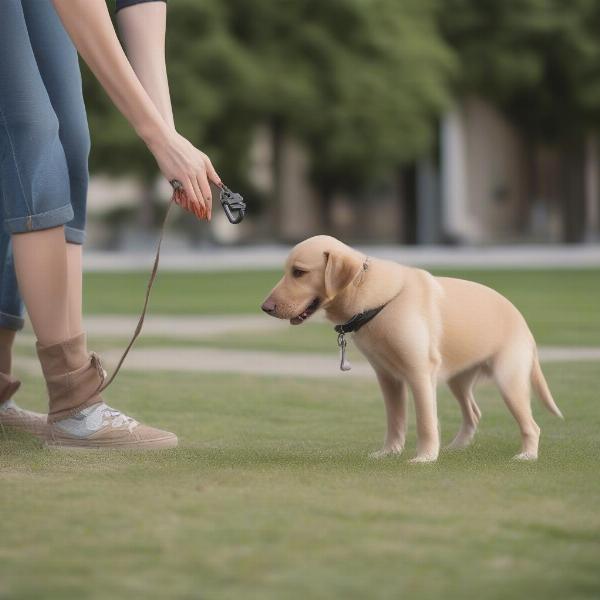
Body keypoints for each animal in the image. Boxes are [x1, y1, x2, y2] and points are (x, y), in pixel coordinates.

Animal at [262, 237, 564, 462]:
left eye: (299, 272)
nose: (265, 308)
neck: (374, 298)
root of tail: (523, 322)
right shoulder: (387, 377)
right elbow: (395, 419)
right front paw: (389, 452)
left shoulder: (419, 373)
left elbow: (425, 421)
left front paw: (425, 458)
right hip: (458, 380)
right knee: (474, 413)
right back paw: (456, 447)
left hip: (508, 380)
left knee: (532, 425)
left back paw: (527, 455)